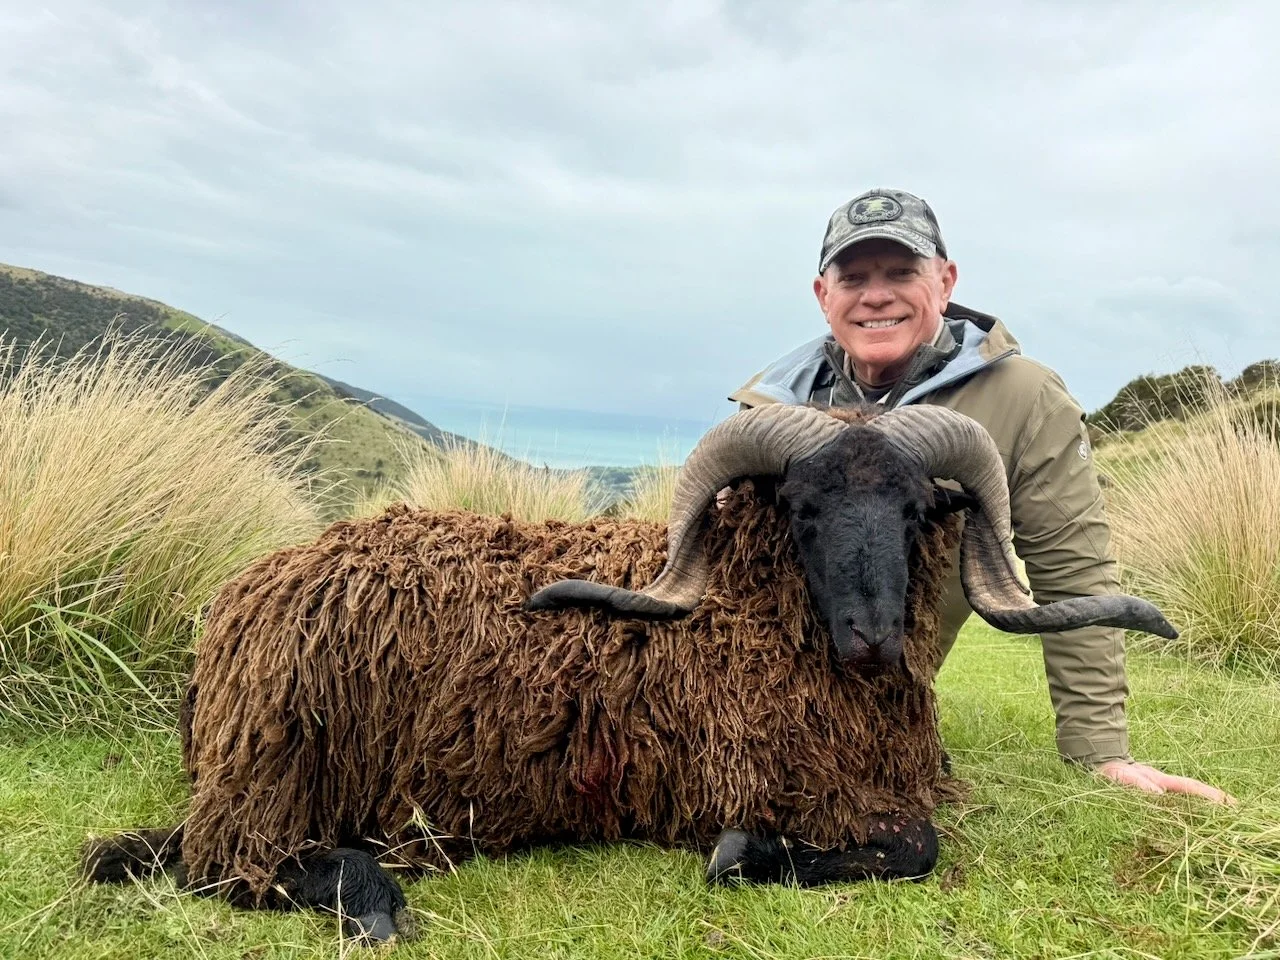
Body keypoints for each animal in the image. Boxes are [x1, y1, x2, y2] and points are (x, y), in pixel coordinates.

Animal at [82, 403, 1176, 945]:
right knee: (223, 863)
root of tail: (238, 601)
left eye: (914, 512)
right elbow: (911, 848)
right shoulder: (746, 779)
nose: (869, 641)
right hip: (270, 778)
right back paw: (375, 901)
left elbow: (916, 840)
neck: (739, 609)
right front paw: (748, 856)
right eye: (802, 510)